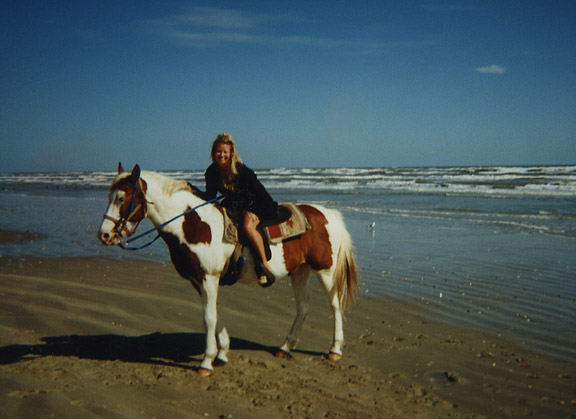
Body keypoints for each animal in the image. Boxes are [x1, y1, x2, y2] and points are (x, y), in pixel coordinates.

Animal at [98, 163, 359, 376]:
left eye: (121, 199)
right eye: (109, 197)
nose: (105, 235)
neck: (195, 225)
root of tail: (329, 215)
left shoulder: (208, 278)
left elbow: (209, 318)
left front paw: (206, 362)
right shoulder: (200, 281)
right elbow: (215, 313)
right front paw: (221, 353)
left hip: (325, 270)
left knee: (335, 305)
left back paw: (335, 349)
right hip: (300, 271)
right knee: (303, 305)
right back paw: (285, 347)